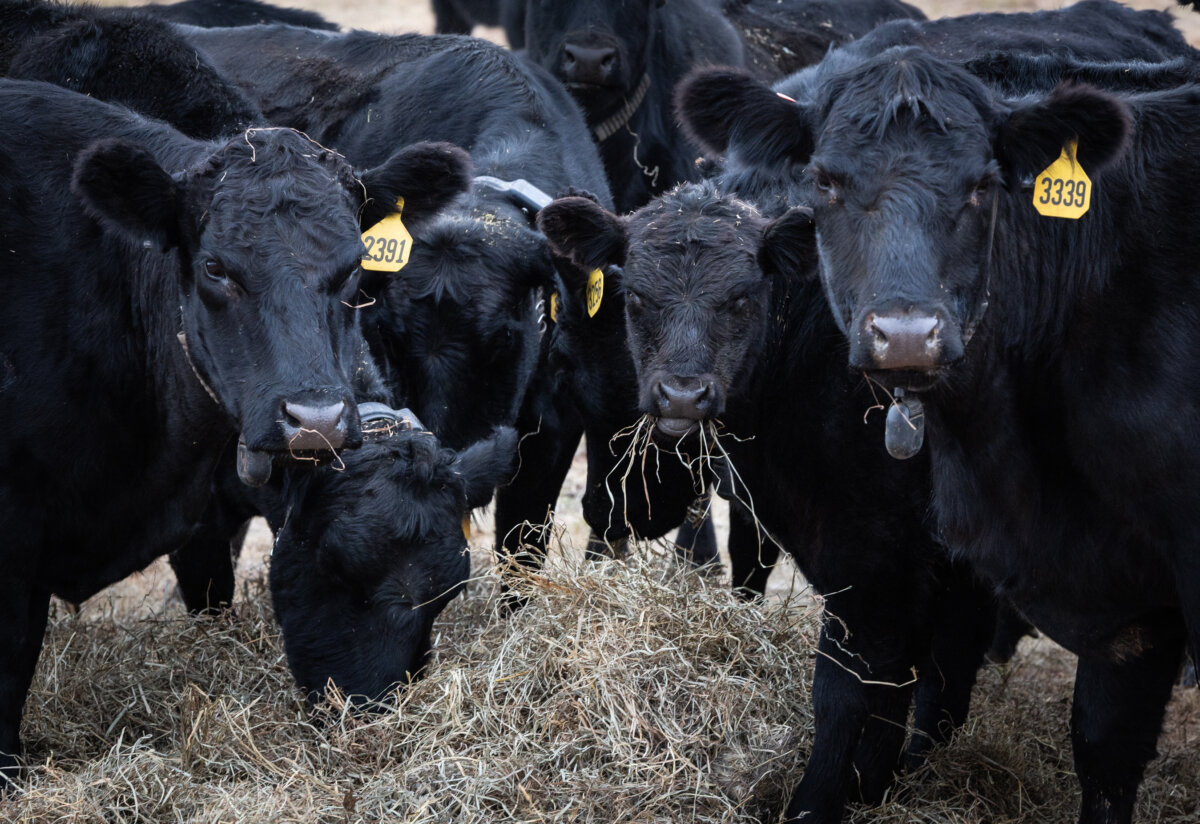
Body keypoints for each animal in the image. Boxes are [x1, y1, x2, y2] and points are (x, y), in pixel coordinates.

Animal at [677, 39, 1200, 824]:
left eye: (985, 184)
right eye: (824, 181)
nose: (905, 335)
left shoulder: (882, 556)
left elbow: (863, 691)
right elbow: (1093, 742)